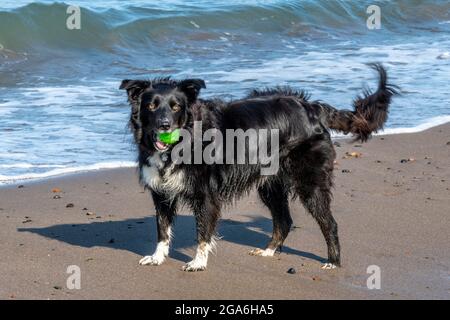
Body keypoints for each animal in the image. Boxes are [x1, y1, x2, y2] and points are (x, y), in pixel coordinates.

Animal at [120, 63, 398, 272]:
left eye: (176, 106)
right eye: (151, 106)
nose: (165, 125)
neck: (183, 139)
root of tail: (312, 107)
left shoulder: (206, 195)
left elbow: (202, 232)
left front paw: (198, 263)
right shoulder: (161, 192)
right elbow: (162, 228)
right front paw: (157, 257)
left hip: (309, 182)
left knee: (329, 222)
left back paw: (332, 262)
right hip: (271, 184)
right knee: (284, 220)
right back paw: (269, 251)